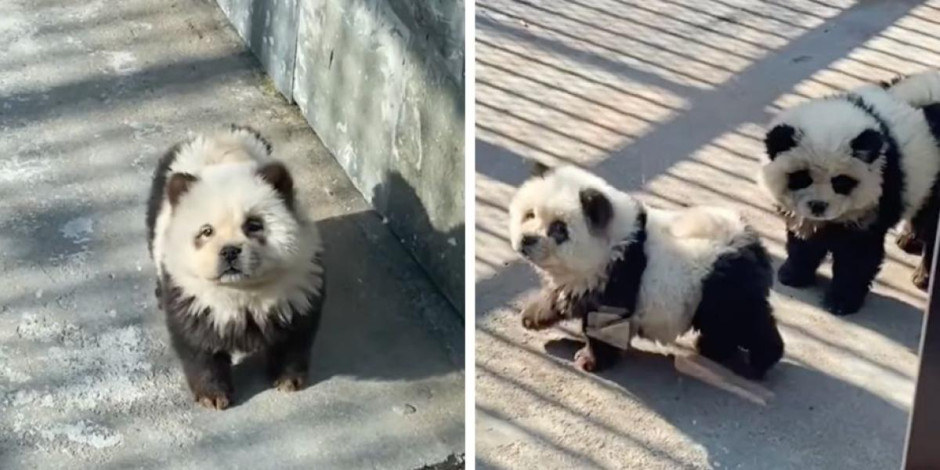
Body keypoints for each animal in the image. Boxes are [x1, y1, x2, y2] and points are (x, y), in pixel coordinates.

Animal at [146, 125, 325, 409]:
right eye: (206, 231)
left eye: (253, 225)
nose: (229, 251)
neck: (242, 291)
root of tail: (216, 133)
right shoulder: (192, 296)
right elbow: (198, 345)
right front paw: (213, 395)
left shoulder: (298, 283)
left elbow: (295, 335)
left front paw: (288, 380)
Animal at [509, 164, 784, 380]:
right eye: (529, 214)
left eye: (559, 229)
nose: (527, 240)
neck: (615, 241)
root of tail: (752, 243)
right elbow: (564, 295)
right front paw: (533, 316)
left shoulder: (618, 275)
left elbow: (604, 324)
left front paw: (590, 360)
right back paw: (713, 348)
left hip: (723, 286)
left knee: (744, 322)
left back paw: (759, 362)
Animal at [759, 73, 940, 316]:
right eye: (802, 177)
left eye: (841, 182)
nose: (818, 205)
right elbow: (804, 239)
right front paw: (793, 274)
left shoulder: (876, 198)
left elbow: (857, 256)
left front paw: (841, 301)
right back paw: (909, 239)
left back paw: (923, 275)